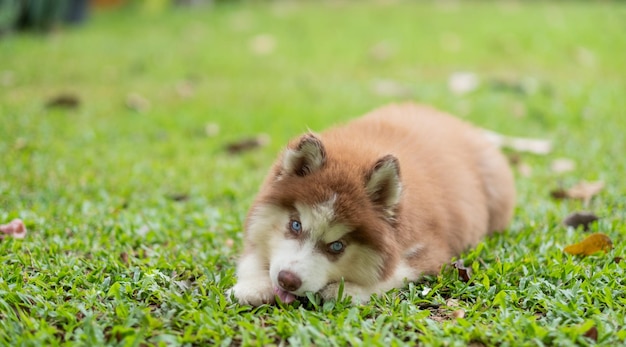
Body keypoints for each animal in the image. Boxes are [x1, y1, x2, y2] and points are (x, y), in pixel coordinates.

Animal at [228, 103, 512, 308]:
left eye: (337, 246)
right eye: (295, 225)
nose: (287, 280)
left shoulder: (432, 251)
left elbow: (395, 273)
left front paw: (346, 290)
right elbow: (251, 256)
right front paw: (253, 285)